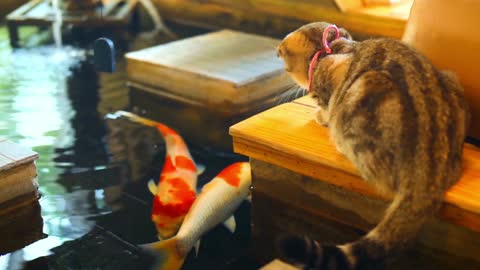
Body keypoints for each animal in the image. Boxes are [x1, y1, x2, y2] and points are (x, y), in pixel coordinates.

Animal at [278, 21, 468, 270]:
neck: (331, 49)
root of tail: (430, 173)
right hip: (451, 78)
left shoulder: (332, 70)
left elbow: (326, 106)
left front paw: (321, 115)